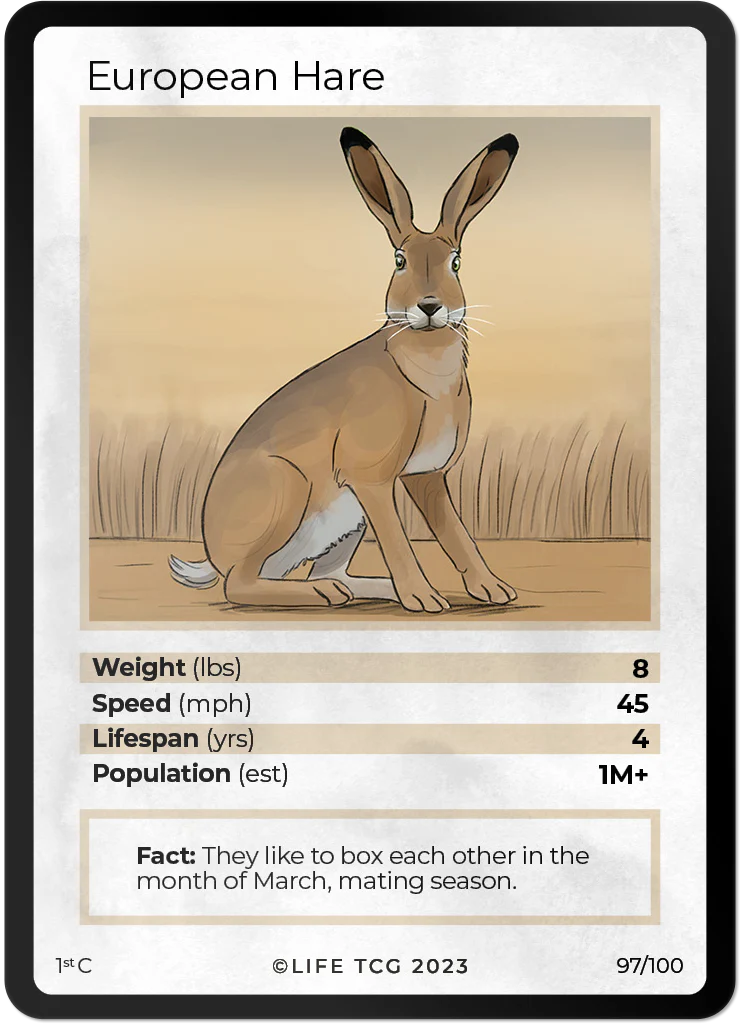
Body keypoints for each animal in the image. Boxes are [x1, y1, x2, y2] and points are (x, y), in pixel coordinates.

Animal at [170, 126, 519, 613]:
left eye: (456, 262)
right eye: (399, 260)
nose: (430, 307)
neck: (424, 374)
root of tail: (211, 551)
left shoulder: (427, 478)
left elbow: (457, 534)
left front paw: (493, 589)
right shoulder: (371, 479)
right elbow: (399, 540)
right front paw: (423, 599)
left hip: (346, 524)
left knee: (330, 573)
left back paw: (368, 589)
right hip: (289, 488)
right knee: (239, 584)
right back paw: (328, 594)